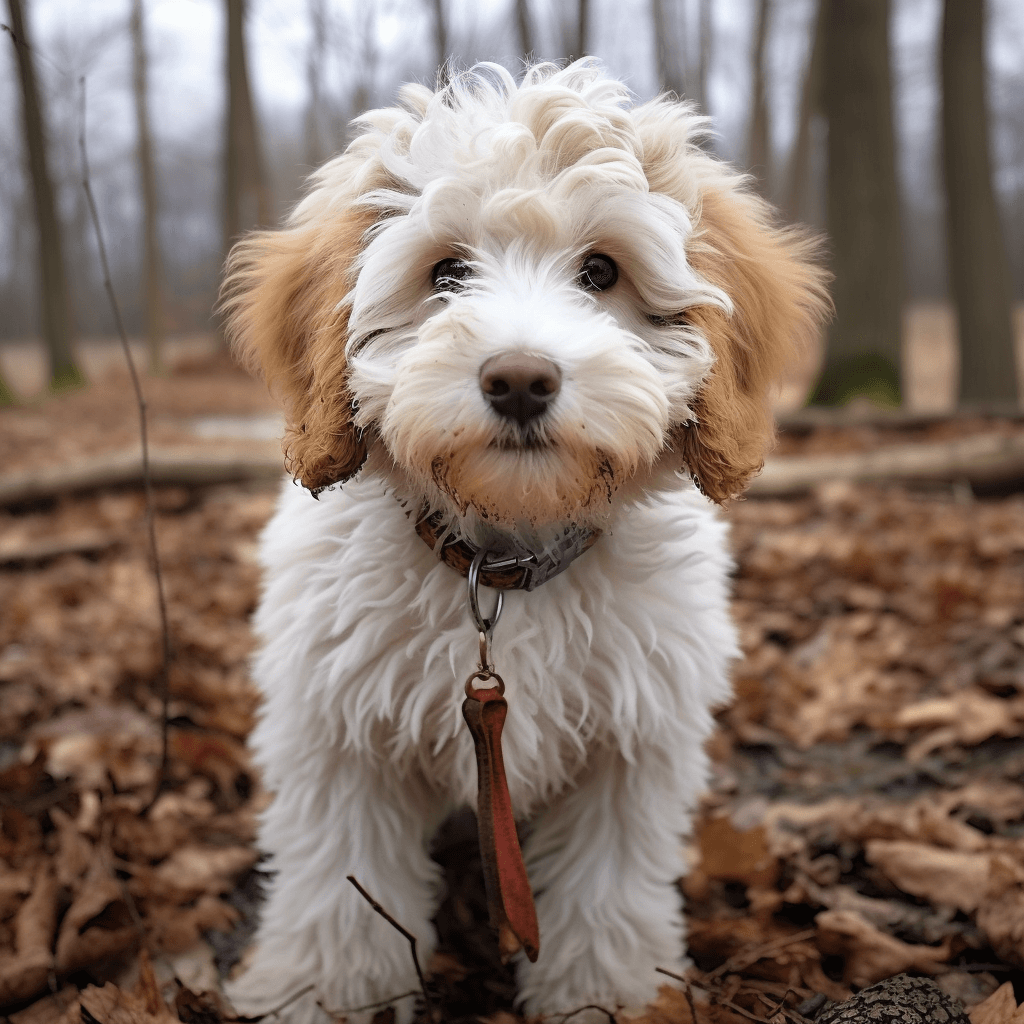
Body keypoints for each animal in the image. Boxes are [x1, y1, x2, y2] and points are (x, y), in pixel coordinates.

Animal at [220, 61, 827, 1024]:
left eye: (601, 270)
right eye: (447, 270)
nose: (519, 379)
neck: (503, 559)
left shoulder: (629, 743)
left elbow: (606, 890)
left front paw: (603, 996)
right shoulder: (338, 733)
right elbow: (340, 880)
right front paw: (324, 992)